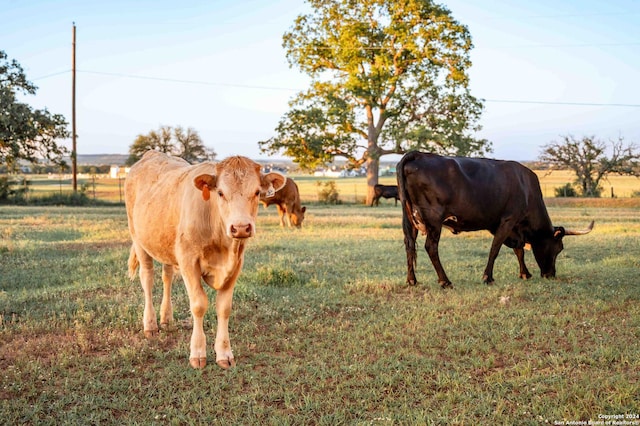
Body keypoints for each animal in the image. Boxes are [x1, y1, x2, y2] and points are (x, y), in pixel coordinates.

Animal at [396, 151, 596, 288]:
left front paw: (525, 273)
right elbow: (495, 248)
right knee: (431, 247)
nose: (550, 274)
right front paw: (488, 277)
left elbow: (519, 250)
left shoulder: (511, 227)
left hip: (410, 219)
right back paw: (445, 281)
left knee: (409, 245)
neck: (527, 189)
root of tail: (418, 155)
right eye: (559, 248)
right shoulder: (508, 220)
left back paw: (412, 280)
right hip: (434, 219)